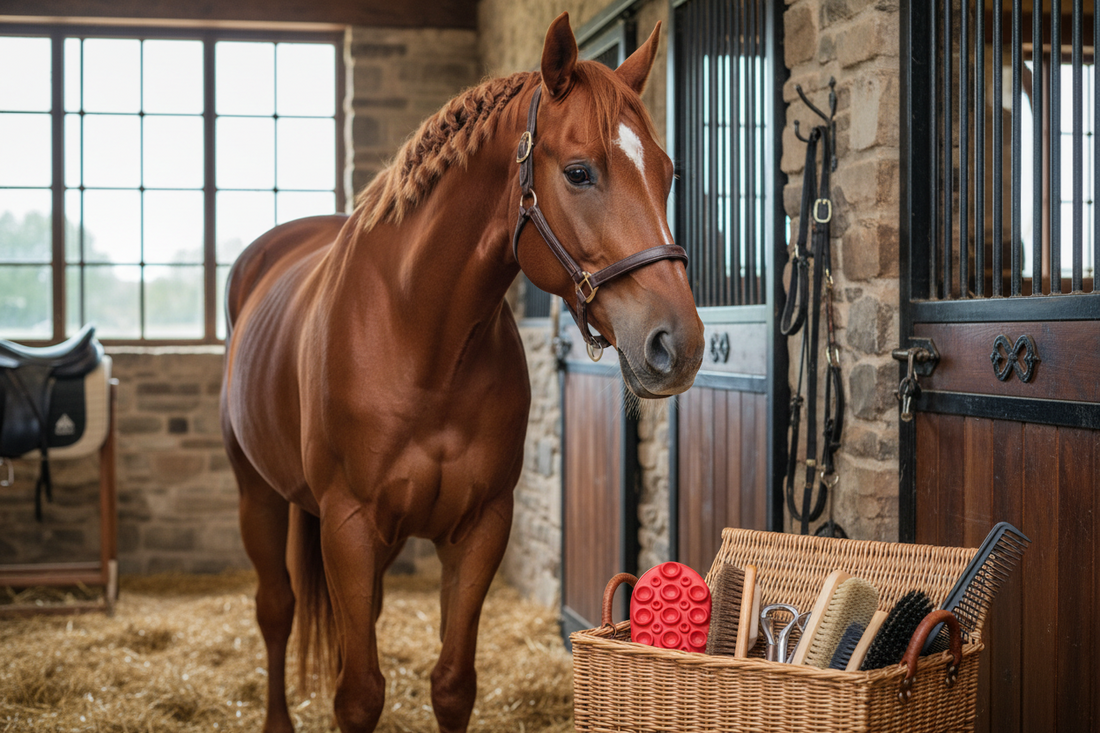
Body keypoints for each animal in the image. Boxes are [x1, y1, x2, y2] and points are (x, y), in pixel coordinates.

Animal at [220, 12, 704, 733]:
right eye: (580, 172)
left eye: (668, 171)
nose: (681, 342)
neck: (421, 340)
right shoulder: (348, 526)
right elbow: (357, 693)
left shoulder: (479, 526)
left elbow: (451, 683)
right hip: (259, 493)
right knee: (275, 610)